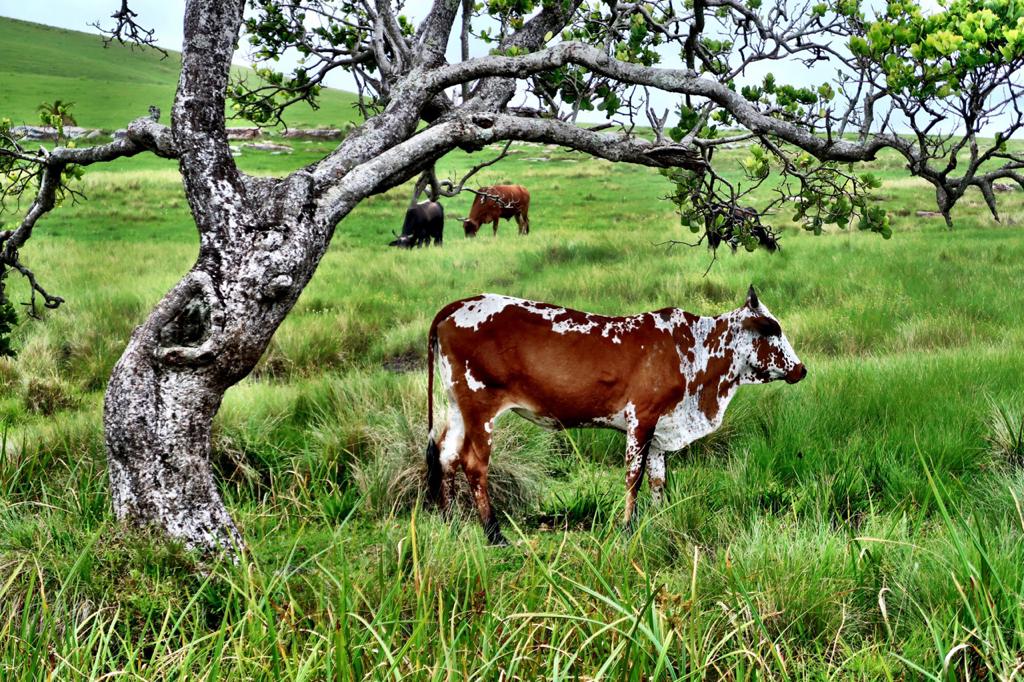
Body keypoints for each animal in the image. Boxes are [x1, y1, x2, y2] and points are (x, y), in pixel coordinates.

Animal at [423, 284, 806, 544]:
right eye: (772, 328)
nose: (801, 369)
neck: (695, 350)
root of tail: (454, 307)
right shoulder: (642, 419)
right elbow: (633, 477)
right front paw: (626, 528)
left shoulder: (660, 431)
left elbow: (657, 481)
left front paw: (658, 520)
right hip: (480, 408)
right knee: (474, 465)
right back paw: (494, 535)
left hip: (458, 409)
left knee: (445, 456)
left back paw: (449, 523)